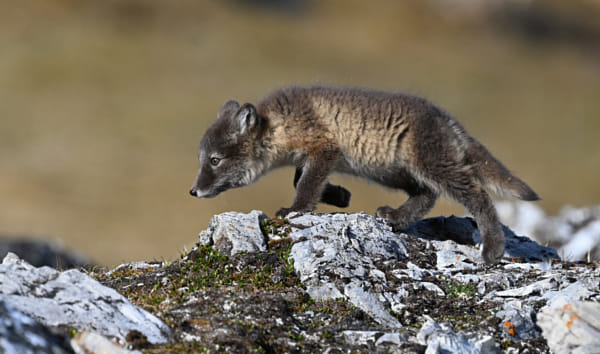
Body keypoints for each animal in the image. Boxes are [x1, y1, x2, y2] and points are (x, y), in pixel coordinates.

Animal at [189, 85, 540, 262]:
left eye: (216, 160)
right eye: (201, 158)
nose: (194, 191)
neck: (278, 122)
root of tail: (448, 121)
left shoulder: (325, 148)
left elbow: (305, 184)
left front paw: (296, 210)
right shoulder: (314, 155)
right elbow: (300, 178)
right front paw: (341, 196)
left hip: (432, 164)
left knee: (477, 196)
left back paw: (493, 250)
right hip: (390, 169)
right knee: (427, 195)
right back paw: (395, 217)